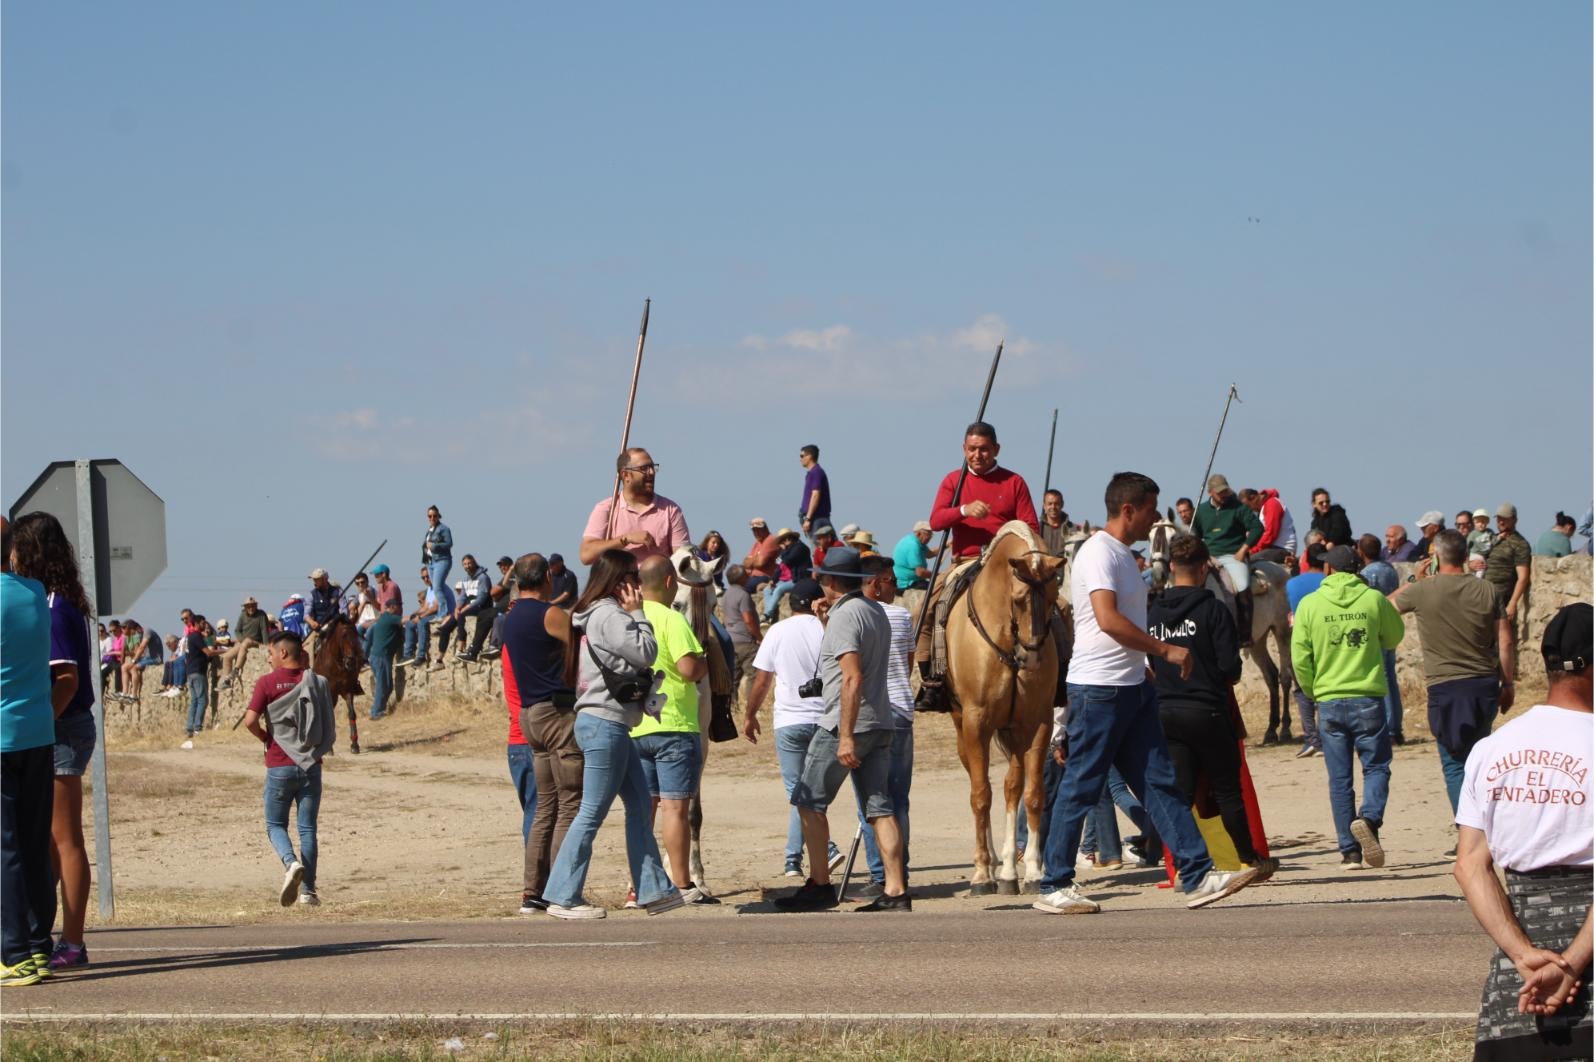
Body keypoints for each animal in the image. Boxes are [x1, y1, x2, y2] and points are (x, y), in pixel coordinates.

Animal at [309, 612, 365, 752]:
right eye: (344, 635)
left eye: (356, 634)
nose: (351, 661)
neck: (337, 665)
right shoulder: (329, 692)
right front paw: (329, 748)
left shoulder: (347, 690)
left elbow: (351, 714)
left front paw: (355, 744)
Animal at [937, 519, 1064, 892]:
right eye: (1019, 599)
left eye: (1053, 598)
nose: (1032, 659)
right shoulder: (976, 722)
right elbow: (981, 794)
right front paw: (981, 872)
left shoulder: (1038, 722)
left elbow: (1032, 794)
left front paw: (1034, 871)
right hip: (965, 727)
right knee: (983, 785)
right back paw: (993, 863)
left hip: (1014, 731)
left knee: (1012, 786)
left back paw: (1009, 869)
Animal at [1147, 516, 1294, 739]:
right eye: (1149, 537)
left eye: (1172, 538)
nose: (1158, 574)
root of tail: (1281, 571)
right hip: (1257, 641)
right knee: (1270, 675)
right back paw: (1271, 729)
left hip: (1282, 630)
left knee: (1285, 676)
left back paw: (1285, 727)